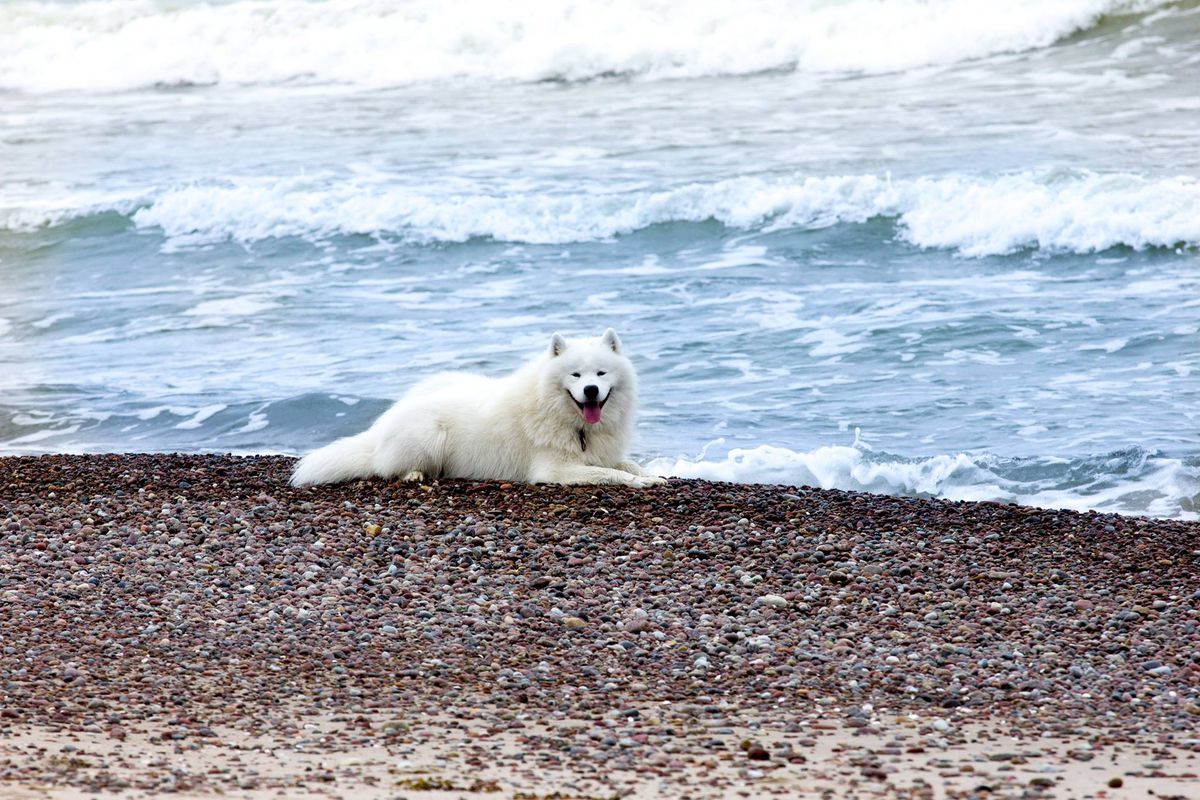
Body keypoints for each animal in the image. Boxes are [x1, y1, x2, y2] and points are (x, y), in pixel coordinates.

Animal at [290, 328, 667, 491]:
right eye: (575, 375)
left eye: (601, 374)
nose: (590, 391)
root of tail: (380, 427)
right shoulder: (554, 469)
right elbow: (609, 473)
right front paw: (639, 481)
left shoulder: (603, 452)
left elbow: (626, 463)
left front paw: (655, 473)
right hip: (429, 435)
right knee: (388, 468)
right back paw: (414, 474)